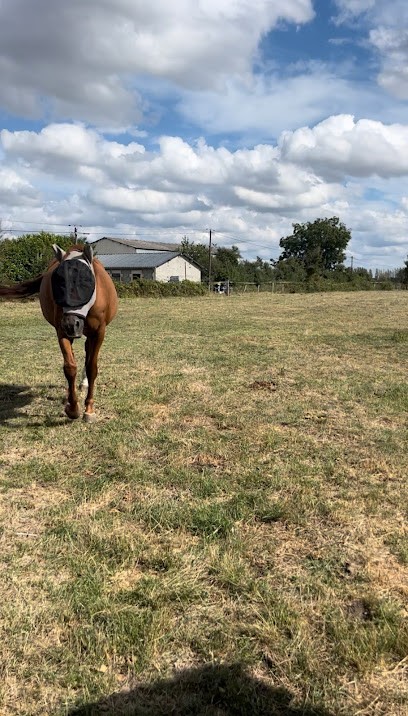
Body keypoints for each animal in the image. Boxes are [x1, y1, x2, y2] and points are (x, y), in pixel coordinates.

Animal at [0, 243, 118, 422]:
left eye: (85, 282)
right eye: (59, 282)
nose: (71, 324)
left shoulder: (99, 332)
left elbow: (92, 367)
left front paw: (89, 409)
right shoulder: (61, 331)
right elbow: (70, 367)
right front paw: (73, 408)